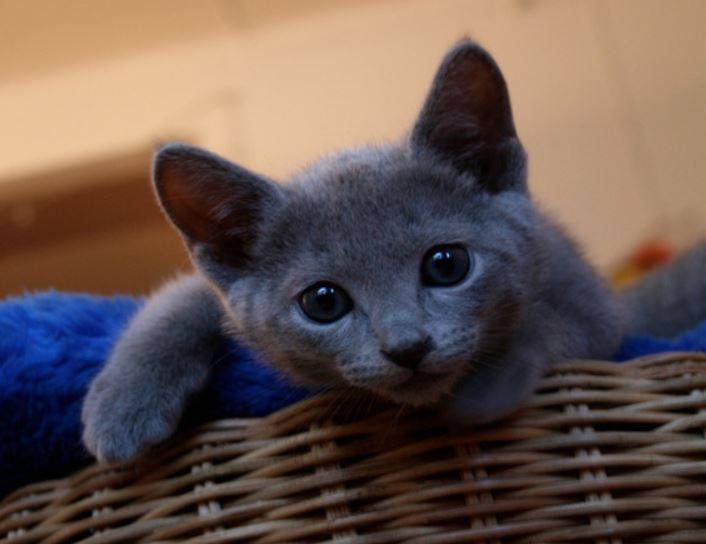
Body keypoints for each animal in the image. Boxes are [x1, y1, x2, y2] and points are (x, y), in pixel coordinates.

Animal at [84, 40, 672, 462]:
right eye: (323, 302)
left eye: (446, 265)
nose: (407, 346)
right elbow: (175, 300)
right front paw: (122, 408)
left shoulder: (591, 302)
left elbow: (549, 326)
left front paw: (487, 387)